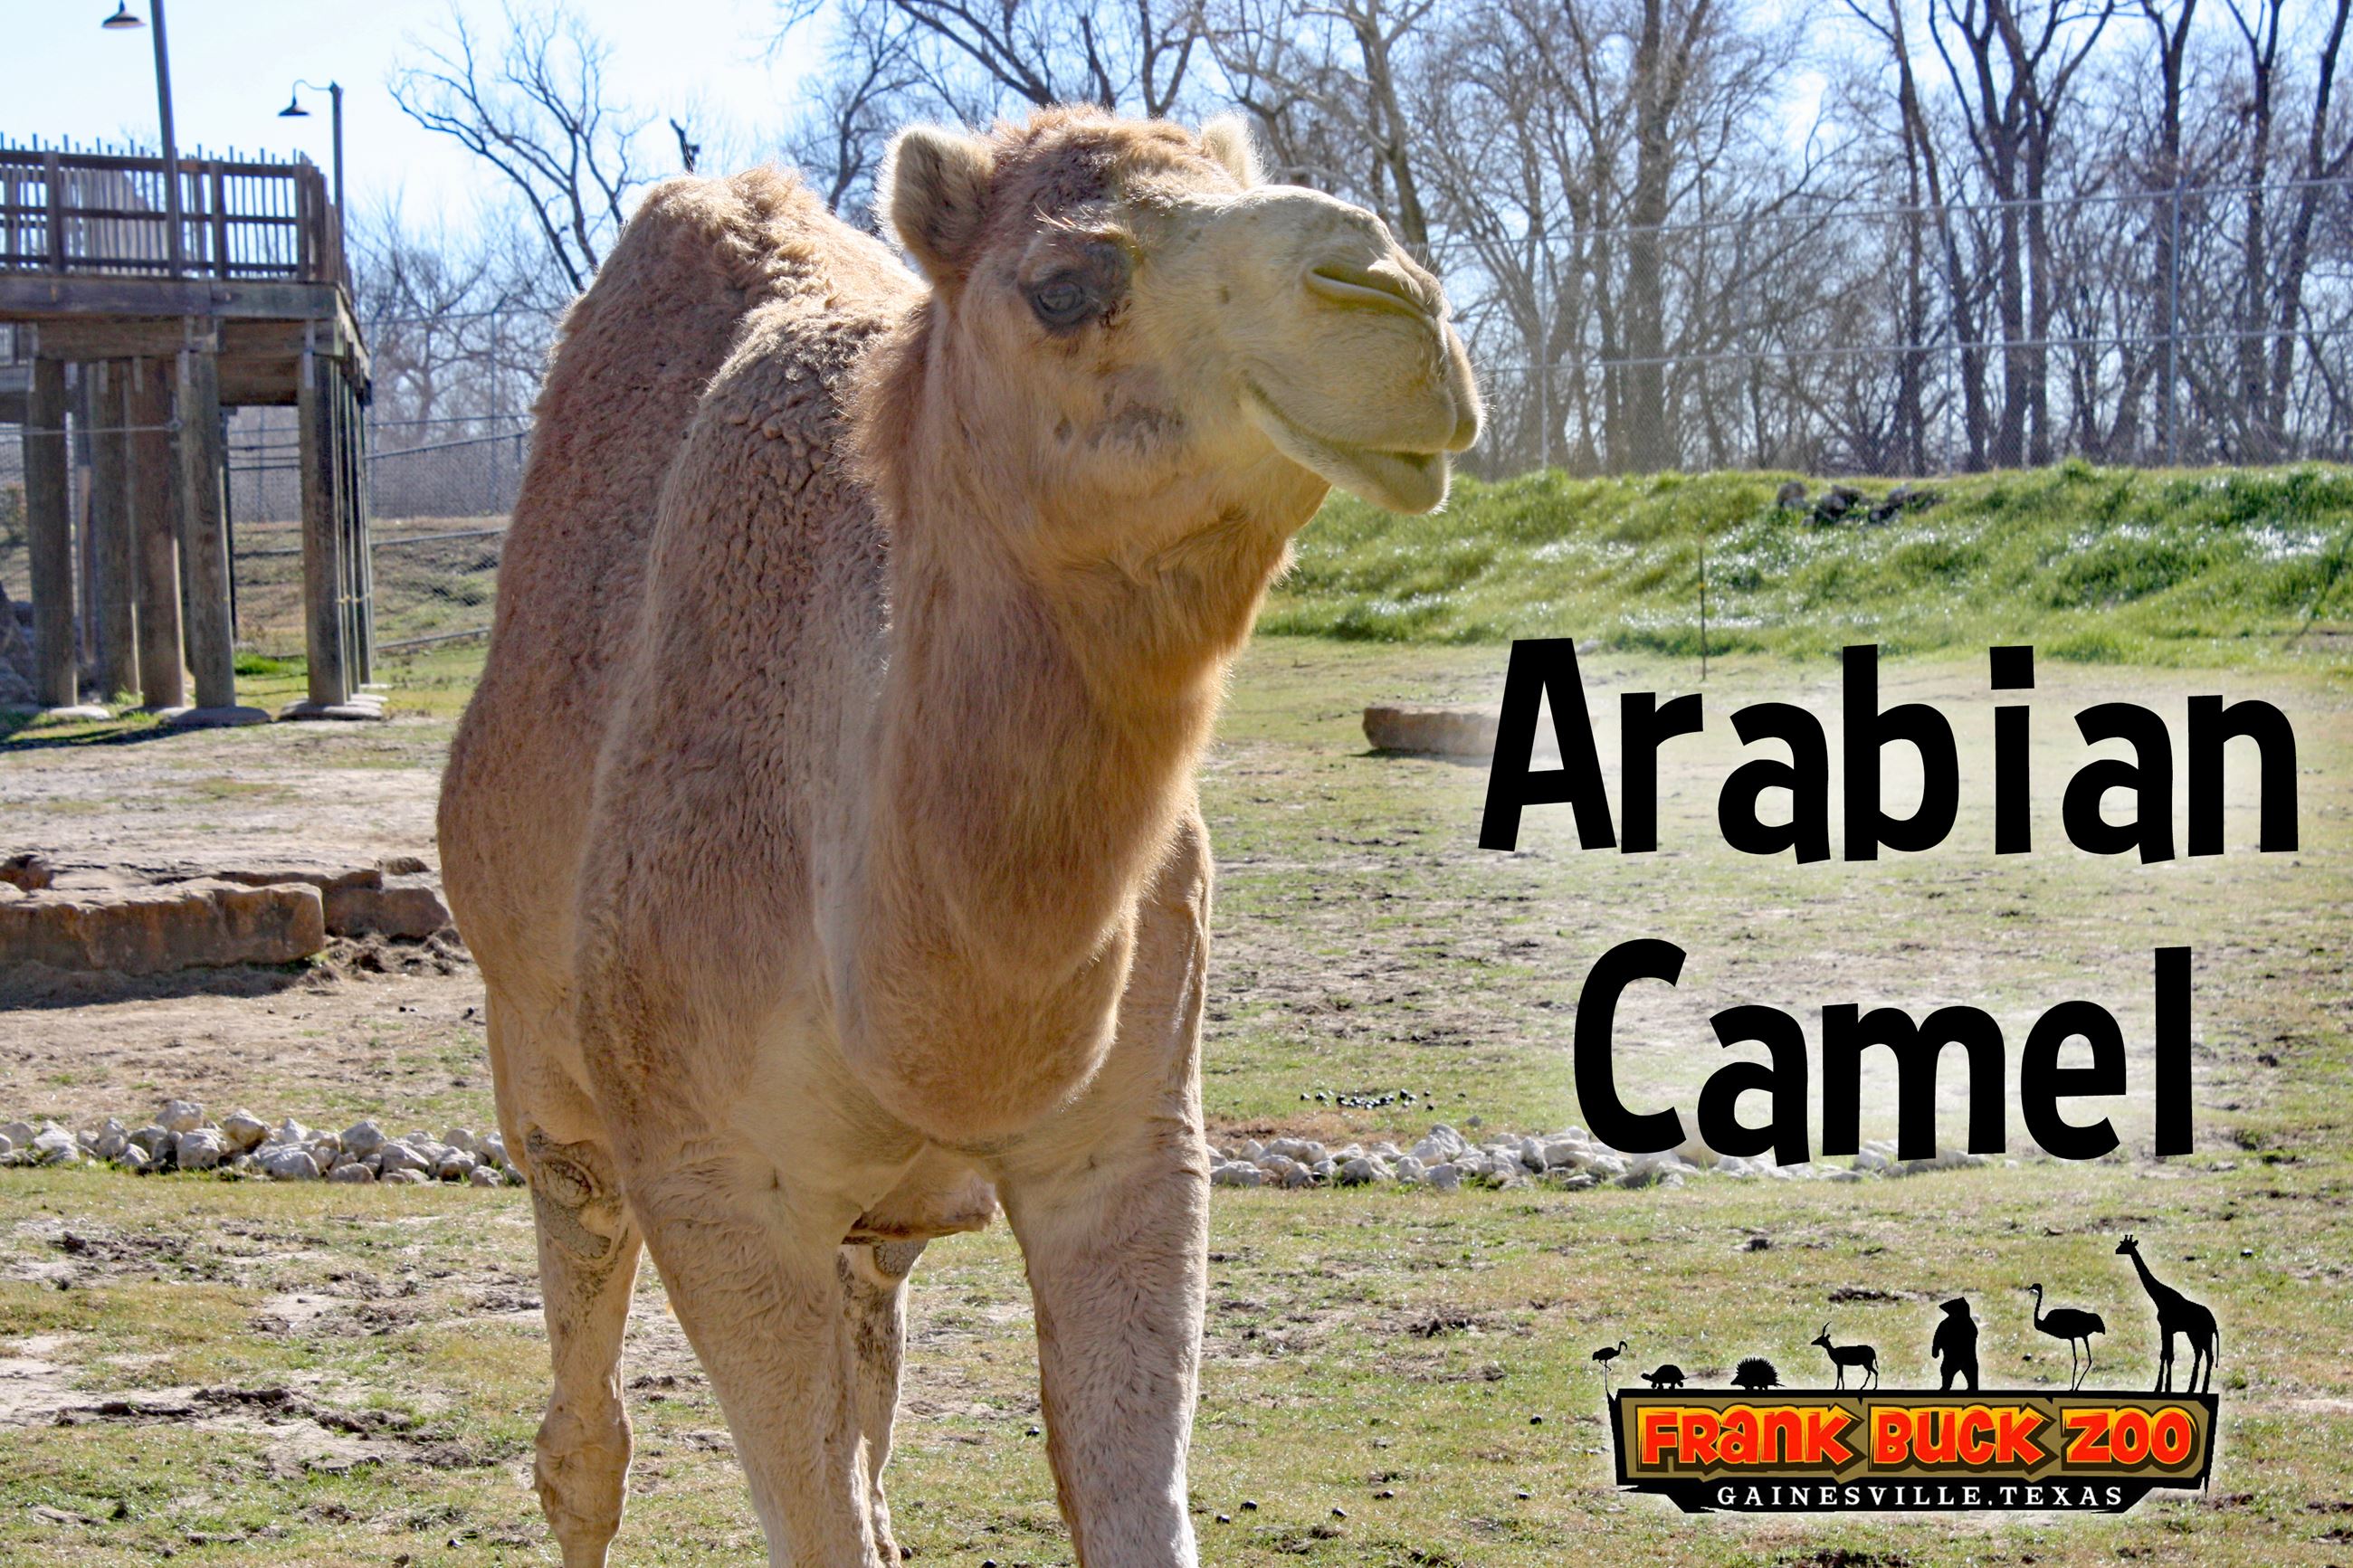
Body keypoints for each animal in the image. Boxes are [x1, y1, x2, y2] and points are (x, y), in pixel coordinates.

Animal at [437, 107, 1478, 1568]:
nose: (1389, 294)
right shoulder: (706, 1176)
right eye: (1064, 282)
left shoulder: (1134, 1141)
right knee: (585, 1427)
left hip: (871, 1214)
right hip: (548, 1080)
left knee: (864, 1389)